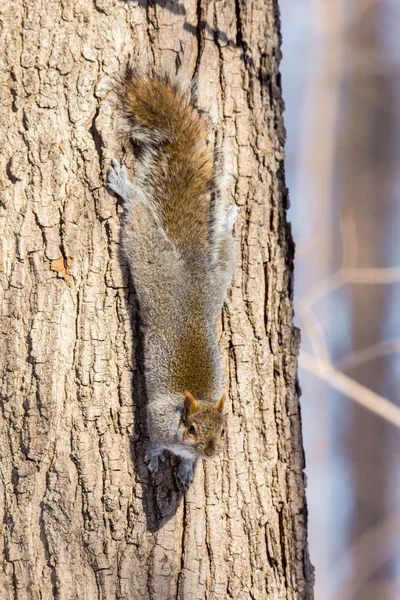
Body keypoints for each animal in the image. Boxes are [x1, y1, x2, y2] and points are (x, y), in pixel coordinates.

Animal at [107, 72, 238, 490]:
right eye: (192, 429)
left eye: (224, 431)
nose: (210, 453)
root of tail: (190, 269)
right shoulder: (157, 418)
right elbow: (152, 437)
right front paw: (153, 455)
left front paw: (187, 468)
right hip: (149, 255)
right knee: (140, 220)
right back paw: (126, 188)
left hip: (219, 276)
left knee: (224, 250)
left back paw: (227, 219)